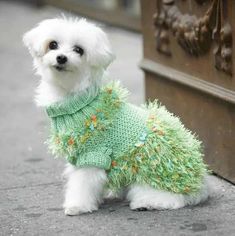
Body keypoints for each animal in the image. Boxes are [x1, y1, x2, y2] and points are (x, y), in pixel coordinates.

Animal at [23, 17, 210, 216]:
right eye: (53, 45)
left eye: (79, 50)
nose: (61, 57)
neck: (78, 101)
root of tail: (200, 185)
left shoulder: (94, 154)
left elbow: (82, 183)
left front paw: (77, 205)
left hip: (151, 173)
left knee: (172, 198)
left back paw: (147, 202)